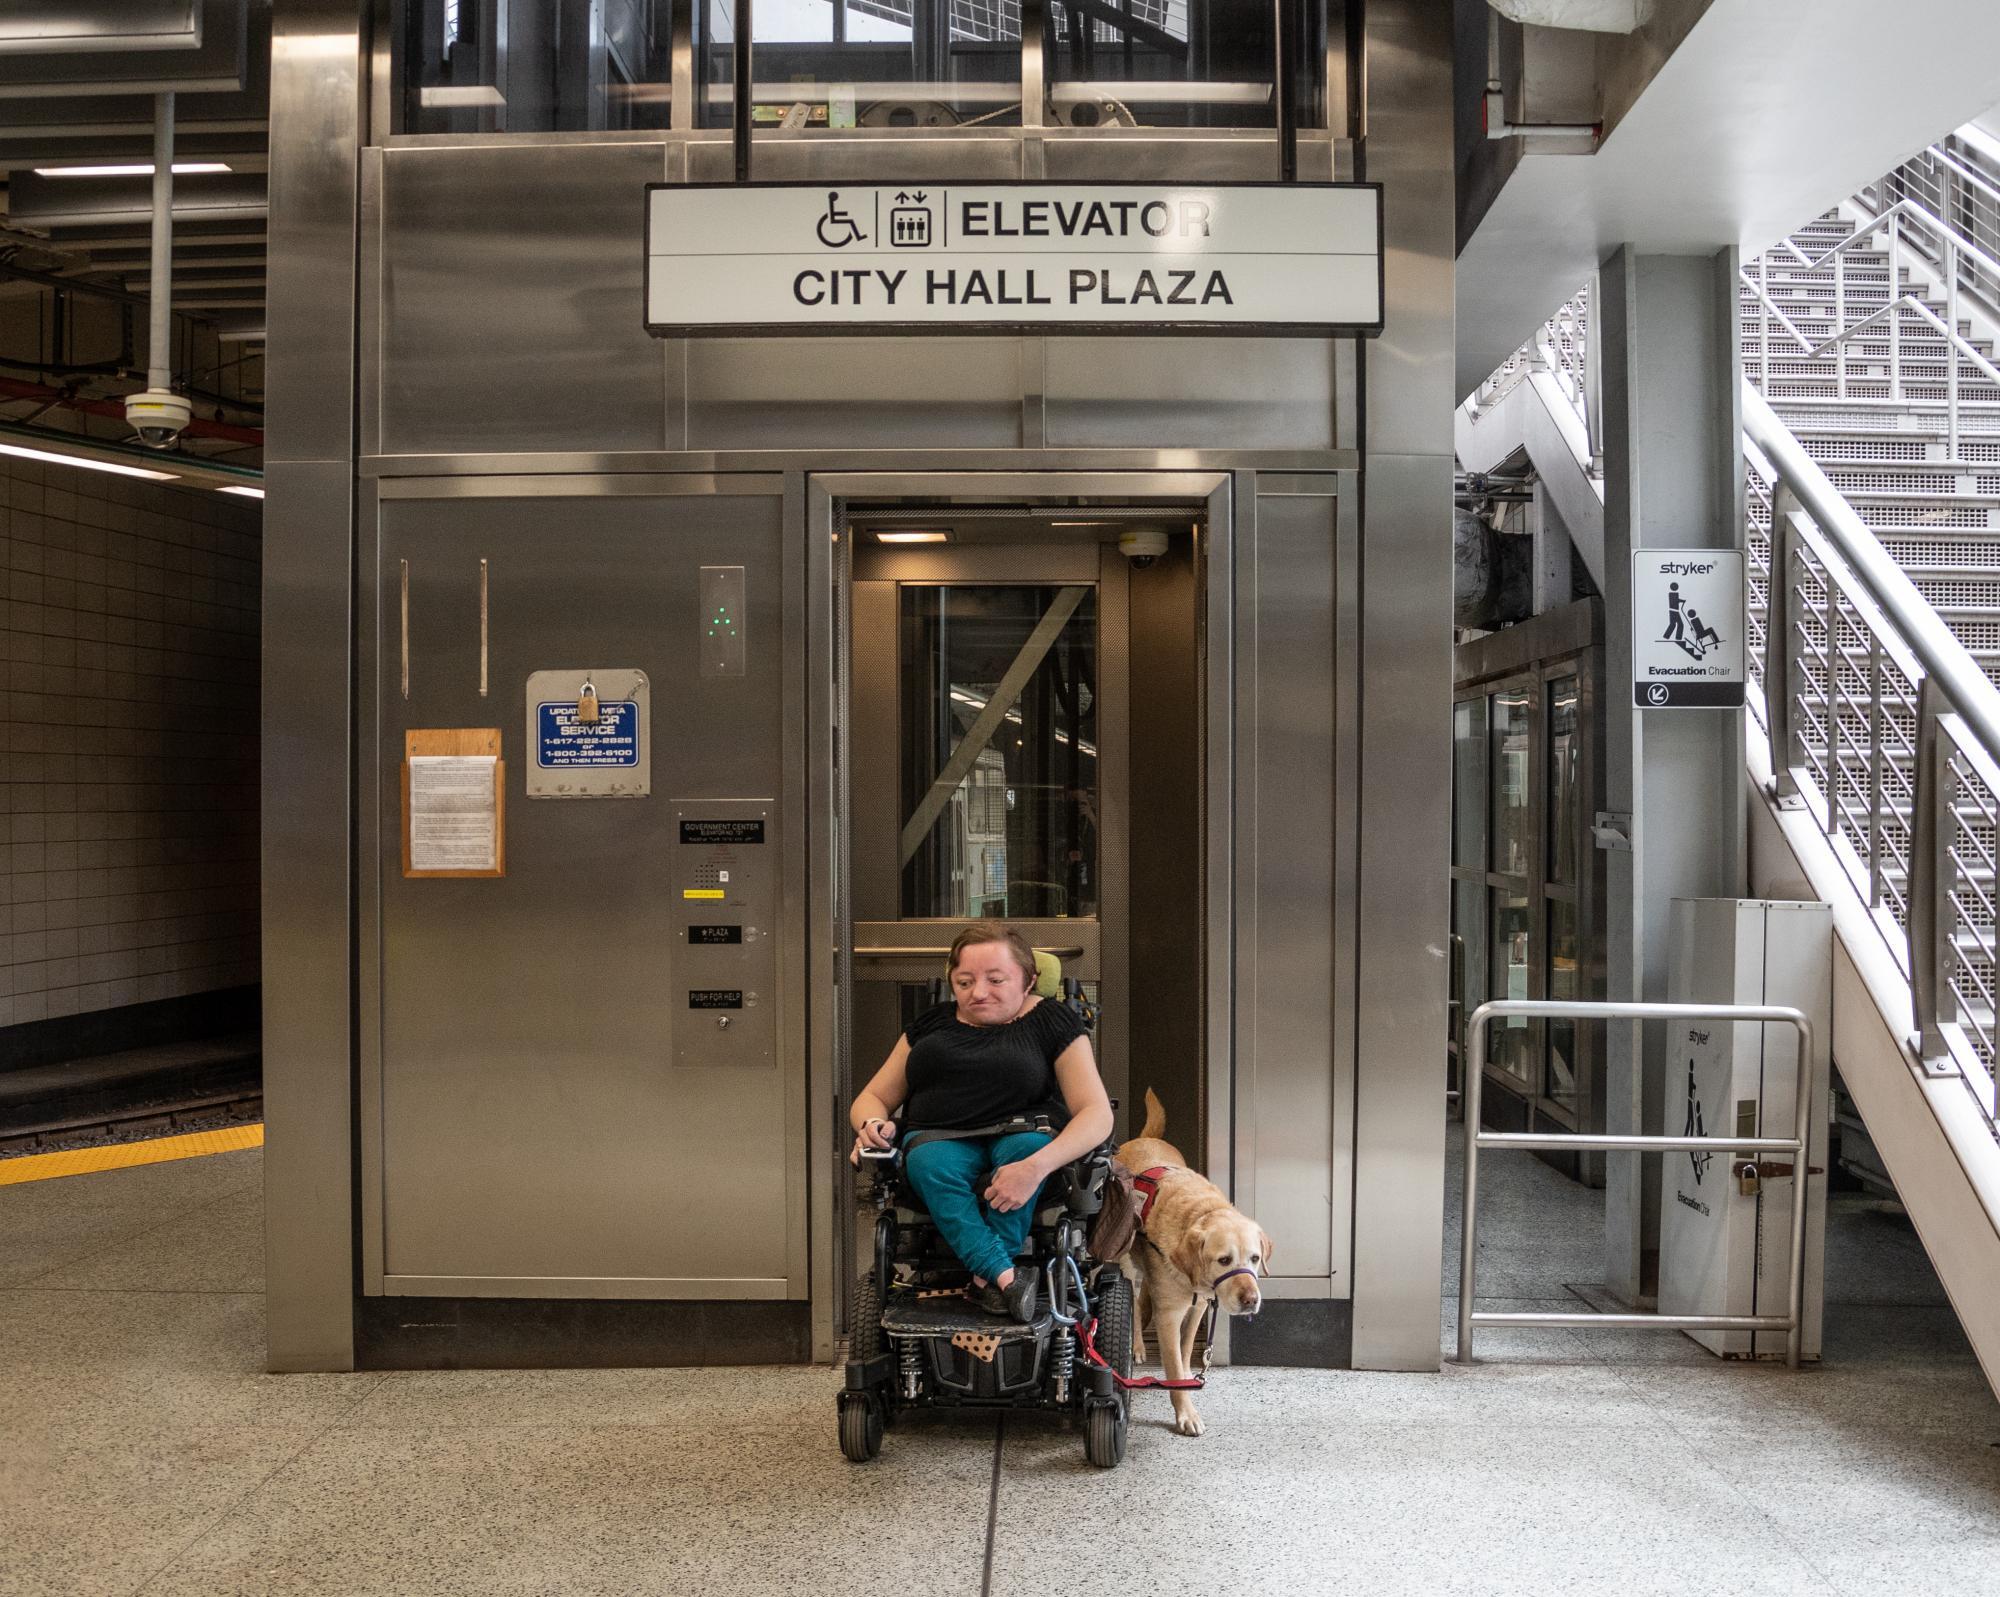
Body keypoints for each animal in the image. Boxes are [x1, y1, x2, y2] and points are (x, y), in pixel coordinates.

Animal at [1112, 1088, 1264, 1440]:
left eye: (1255, 1258)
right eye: (1224, 1260)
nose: (1251, 1300)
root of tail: (1144, 1138)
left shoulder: (1199, 1307)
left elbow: (1183, 1352)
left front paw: (1185, 1372)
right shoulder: (1169, 1315)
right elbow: (1172, 1365)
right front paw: (1186, 1414)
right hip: (1125, 1262)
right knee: (1134, 1302)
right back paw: (1137, 1346)